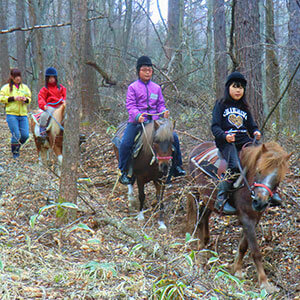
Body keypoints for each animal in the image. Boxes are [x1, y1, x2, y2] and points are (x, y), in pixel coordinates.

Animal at [186, 141, 292, 292]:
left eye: (278, 178)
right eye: (259, 171)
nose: (260, 202)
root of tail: (196, 149)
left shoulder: (254, 218)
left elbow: (243, 246)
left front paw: (237, 270)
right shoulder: (246, 217)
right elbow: (255, 251)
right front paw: (265, 283)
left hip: (209, 199)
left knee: (204, 217)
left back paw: (206, 242)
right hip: (196, 193)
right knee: (199, 220)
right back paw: (200, 251)